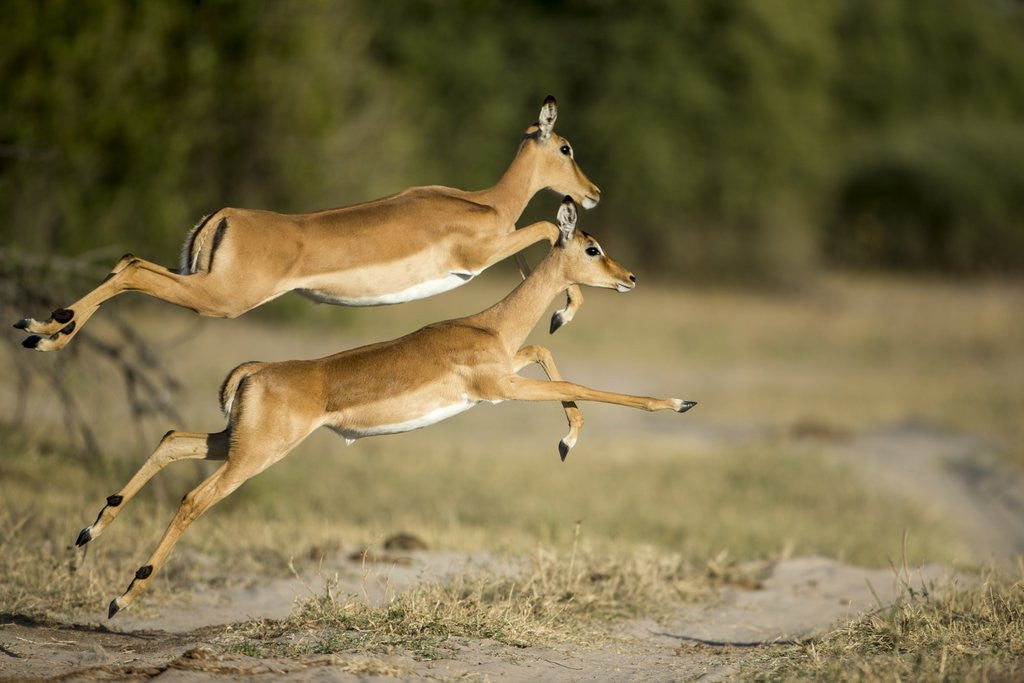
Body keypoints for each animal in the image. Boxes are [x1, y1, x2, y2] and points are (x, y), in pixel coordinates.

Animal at [15, 96, 598, 351]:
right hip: (221, 298)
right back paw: (47, 334)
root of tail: (226, 214)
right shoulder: (477, 257)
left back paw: (44, 328)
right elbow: (549, 230)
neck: (487, 204)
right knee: (133, 269)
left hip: (199, 281)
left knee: (126, 260)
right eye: (566, 147)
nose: (592, 193)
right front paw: (561, 315)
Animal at [75, 198, 696, 618]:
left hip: (234, 442)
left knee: (171, 440)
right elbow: (593, 385)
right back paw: (119, 599)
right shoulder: (498, 388)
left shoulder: (508, 371)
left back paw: (87, 536)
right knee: (193, 498)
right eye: (592, 248)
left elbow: (547, 352)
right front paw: (677, 400)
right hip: (255, 456)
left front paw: (567, 441)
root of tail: (254, 371)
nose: (630, 277)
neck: (488, 325)